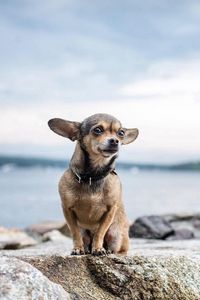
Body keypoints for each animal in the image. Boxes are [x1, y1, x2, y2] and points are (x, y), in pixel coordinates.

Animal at [48, 113, 139, 255]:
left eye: (121, 133)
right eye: (98, 130)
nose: (115, 141)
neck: (92, 176)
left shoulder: (110, 211)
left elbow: (100, 233)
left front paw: (98, 248)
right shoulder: (67, 210)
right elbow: (75, 232)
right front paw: (77, 248)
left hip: (115, 235)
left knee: (119, 249)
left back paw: (108, 251)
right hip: (86, 233)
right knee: (84, 239)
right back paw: (86, 249)